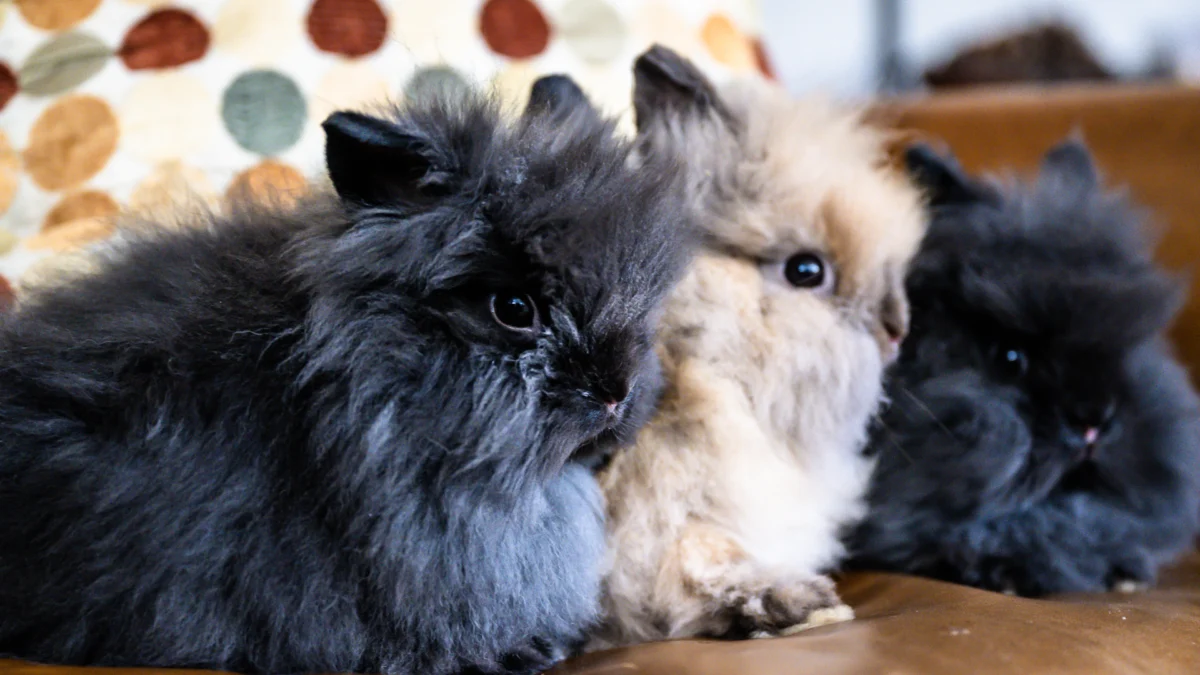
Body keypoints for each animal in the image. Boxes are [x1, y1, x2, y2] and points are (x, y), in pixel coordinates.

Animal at [590, 46, 926, 648]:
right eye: (805, 271)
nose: (896, 327)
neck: (700, 361)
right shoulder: (660, 523)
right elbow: (694, 568)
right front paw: (797, 599)